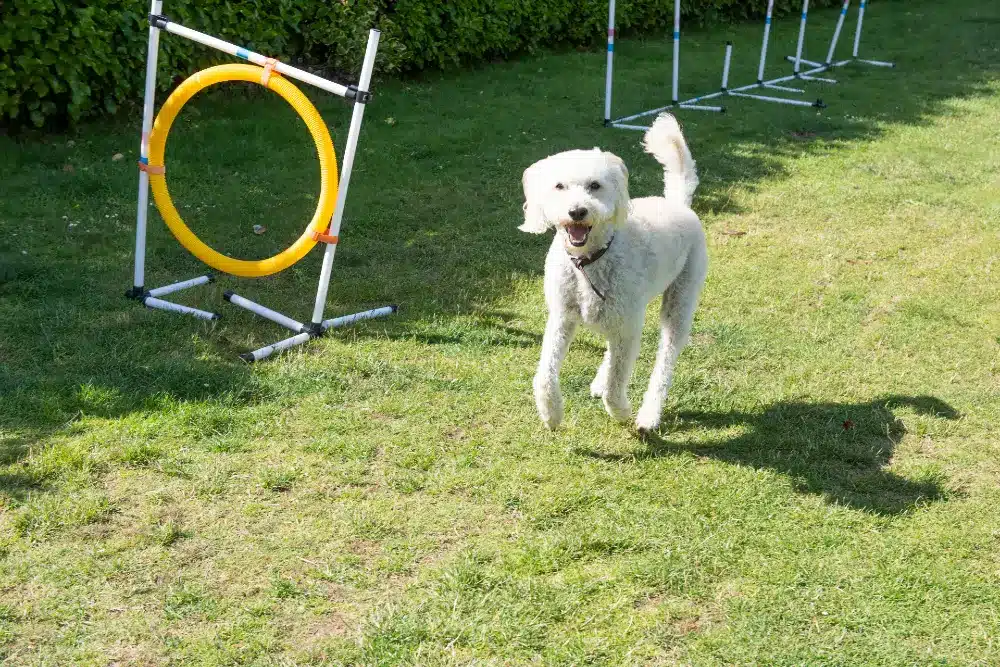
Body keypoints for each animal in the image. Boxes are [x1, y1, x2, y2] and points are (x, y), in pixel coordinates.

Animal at [520, 114, 708, 434]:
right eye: (559, 186)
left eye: (595, 185)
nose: (577, 211)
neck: (589, 262)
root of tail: (678, 204)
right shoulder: (562, 318)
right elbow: (545, 373)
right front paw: (551, 414)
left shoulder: (626, 325)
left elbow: (616, 381)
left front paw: (620, 411)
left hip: (679, 302)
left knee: (664, 362)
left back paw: (648, 414)